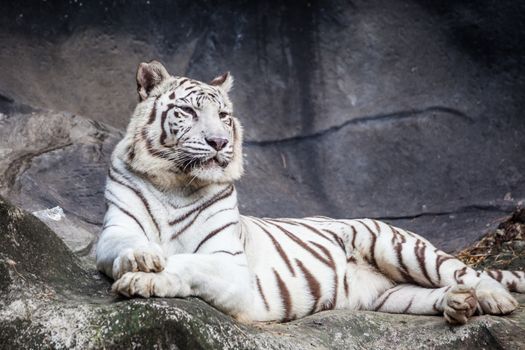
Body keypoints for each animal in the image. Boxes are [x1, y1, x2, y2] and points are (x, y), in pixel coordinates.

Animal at [96, 60, 520, 326]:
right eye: (187, 111)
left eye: (224, 117)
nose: (219, 142)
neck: (176, 182)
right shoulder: (114, 231)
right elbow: (126, 246)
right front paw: (141, 260)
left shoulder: (229, 264)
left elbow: (187, 263)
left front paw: (145, 280)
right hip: (391, 296)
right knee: (435, 291)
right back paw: (459, 304)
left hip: (400, 246)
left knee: (467, 272)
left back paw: (493, 298)